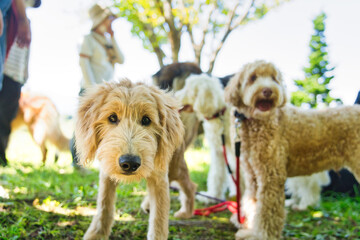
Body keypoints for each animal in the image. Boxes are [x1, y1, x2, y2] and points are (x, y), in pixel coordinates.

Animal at [74, 80, 195, 240]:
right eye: (112, 118)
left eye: (146, 120)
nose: (130, 163)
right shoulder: (107, 172)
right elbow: (104, 203)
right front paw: (97, 233)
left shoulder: (159, 177)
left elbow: (159, 215)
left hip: (174, 167)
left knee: (190, 185)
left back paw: (186, 211)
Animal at [225, 59, 360, 238]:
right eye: (253, 78)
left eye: (274, 78)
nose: (267, 91)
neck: (255, 123)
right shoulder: (253, 176)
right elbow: (253, 203)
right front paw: (250, 228)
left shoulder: (271, 175)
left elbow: (267, 211)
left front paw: (261, 235)